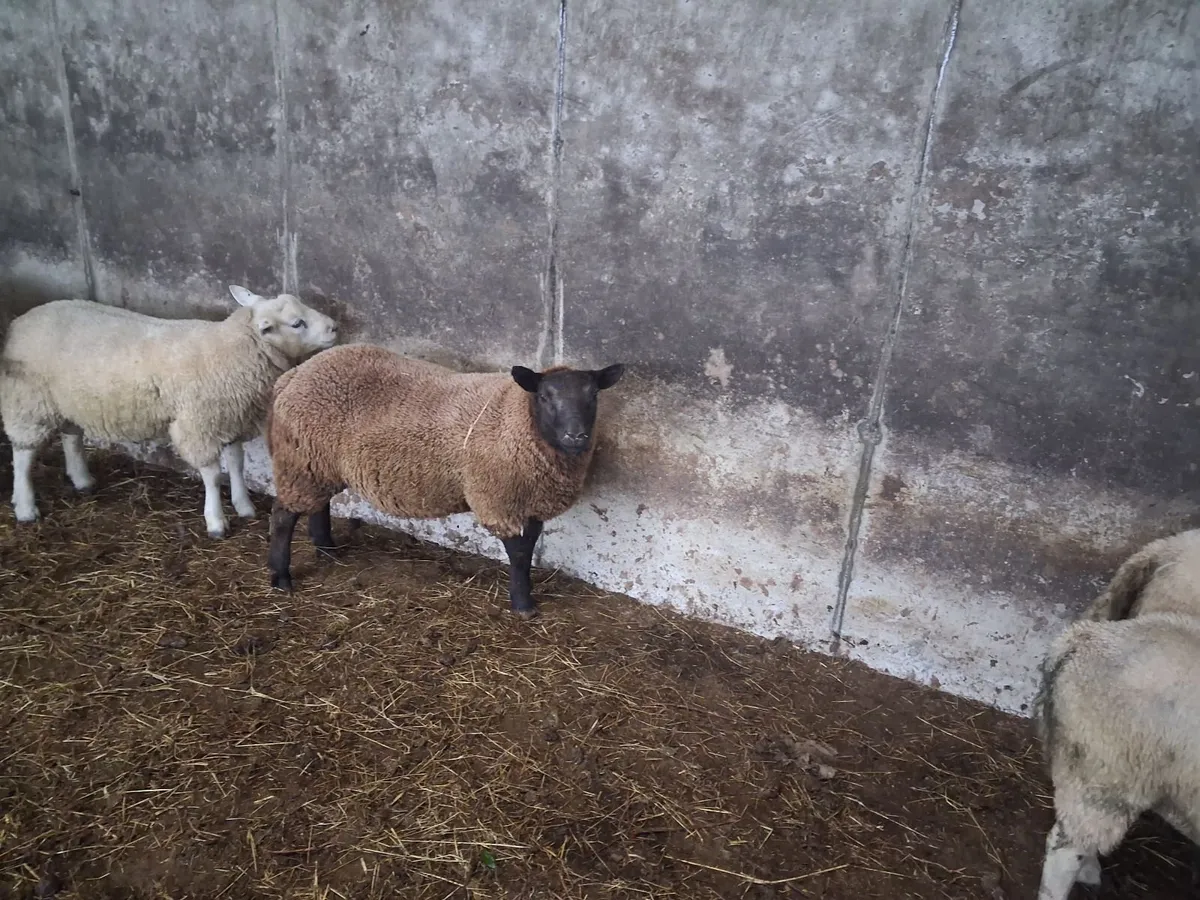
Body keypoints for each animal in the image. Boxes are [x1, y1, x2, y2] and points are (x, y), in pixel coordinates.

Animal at [0, 286, 338, 538]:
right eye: (297, 323)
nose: (335, 327)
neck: (233, 349)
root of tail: (20, 322)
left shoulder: (230, 418)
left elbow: (237, 463)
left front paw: (244, 506)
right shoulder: (199, 424)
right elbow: (213, 475)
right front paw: (216, 521)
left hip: (68, 399)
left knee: (71, 434)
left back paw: (82, 480)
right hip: (28, 400)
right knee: (23, 453)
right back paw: (25, 506)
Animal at [264, 342, 625, 617]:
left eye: (593, 395)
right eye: (545, 397)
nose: (576, 436)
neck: (517, 418)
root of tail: (294, 375)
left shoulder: (529, 501)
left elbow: (529, 547)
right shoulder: (498, 499)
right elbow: (520, 556)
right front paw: (523, 604)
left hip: (315, 463)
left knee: (317, 505)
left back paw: (327, 550)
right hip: (298, 461)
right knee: (282, 516)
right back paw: (281, 576)